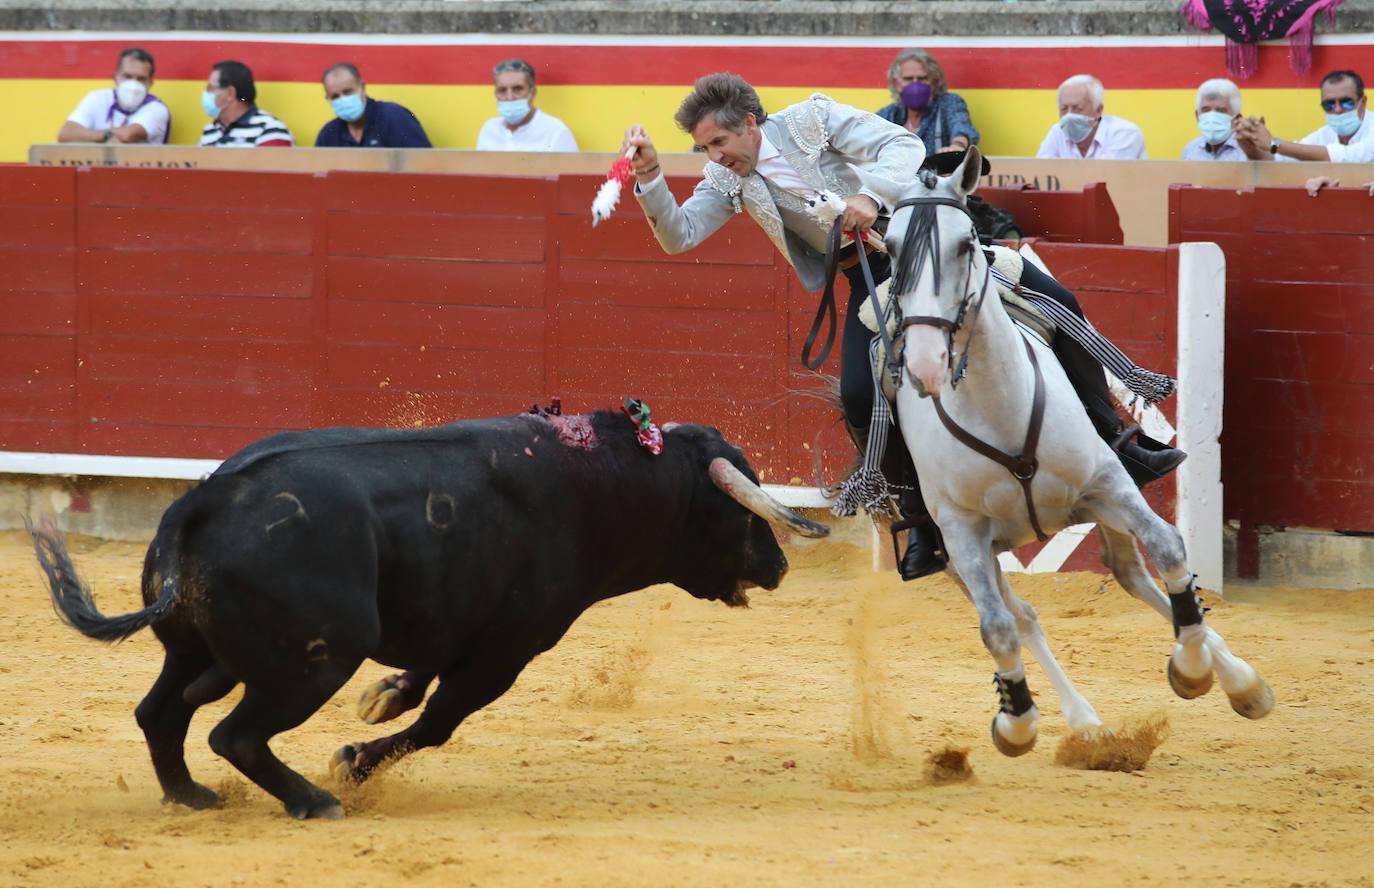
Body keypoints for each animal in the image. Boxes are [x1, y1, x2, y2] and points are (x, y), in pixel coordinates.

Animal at [29, 409, 824, 819]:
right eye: (739, 511)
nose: (780, 565)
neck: (596, 484)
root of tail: (203, 500)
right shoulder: (508, 650)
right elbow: (440, 721)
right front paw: (354, 758)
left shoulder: (454, 623)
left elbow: (418, 683)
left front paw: (381, 699)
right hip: (320, 658)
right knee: (237, 734)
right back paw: (316, 800)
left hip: (198, 652)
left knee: (163, 712)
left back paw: (189, 796)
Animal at [851, 147, 1269, 758]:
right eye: (895, 249)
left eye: (965, 243)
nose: (925, 363)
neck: (997, 407)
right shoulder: (961, 533)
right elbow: (998, 628)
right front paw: (1017, 723)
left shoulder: (1106, 484)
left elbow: (1169, 549)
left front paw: (1195, 669)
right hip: (962, 553)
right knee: (1023, 615)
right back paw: (1083, 721)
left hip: (1101, 504)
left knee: (1134, 575)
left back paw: (1238, 679)